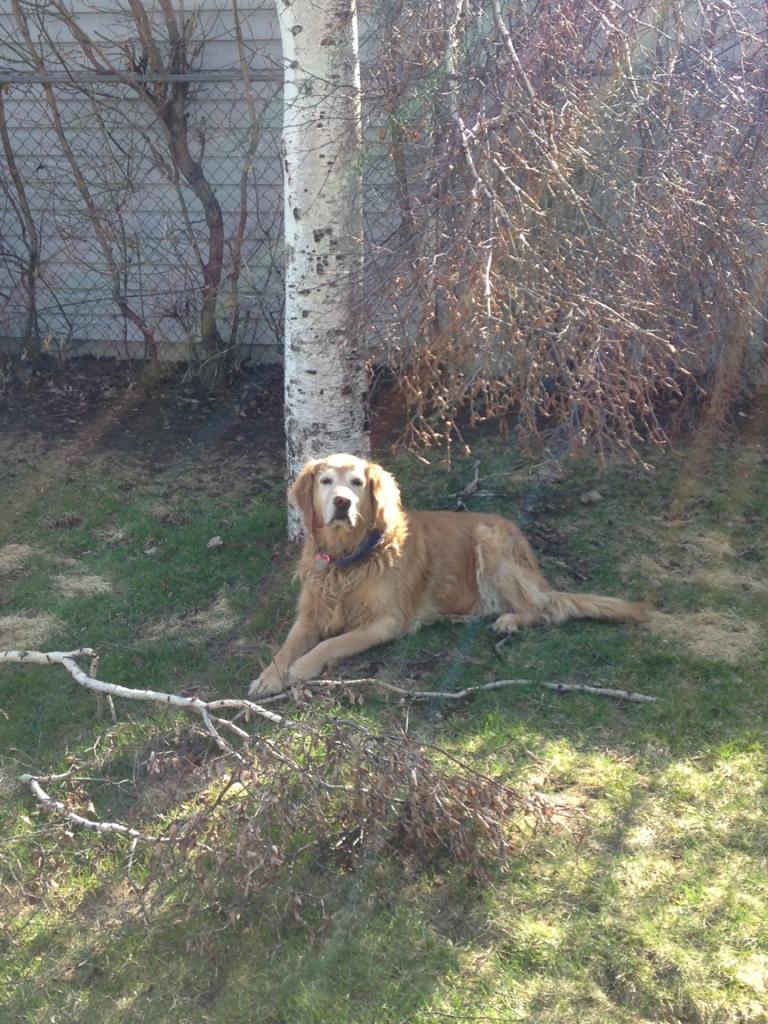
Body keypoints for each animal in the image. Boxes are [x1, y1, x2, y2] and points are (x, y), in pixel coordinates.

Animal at [249, 453, 646, 697]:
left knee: (544, 610)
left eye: (358, 483)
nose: (342, 502)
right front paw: (268, 677)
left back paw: (510, 621)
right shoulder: (309, 613)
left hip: (490, 539)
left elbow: (331, 643)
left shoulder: (388, 621)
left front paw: (303, 667)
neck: (348, 560)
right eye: (326, 481)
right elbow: (285, 648)